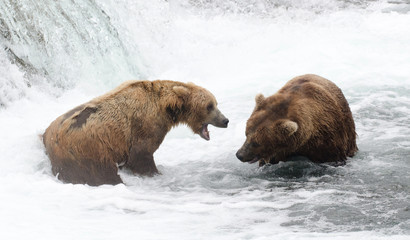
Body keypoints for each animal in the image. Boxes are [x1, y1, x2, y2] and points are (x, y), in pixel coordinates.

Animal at [43, 80, 229, 186]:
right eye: (209, 106)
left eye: (216, 103)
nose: (225, 120)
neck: (166, 107)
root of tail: (47, 138)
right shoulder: (144, 127)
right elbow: (141, 156)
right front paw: (155, 173)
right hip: (89, 152)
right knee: (102, 174)